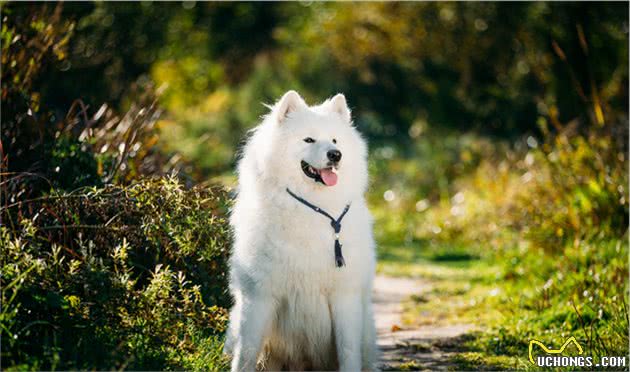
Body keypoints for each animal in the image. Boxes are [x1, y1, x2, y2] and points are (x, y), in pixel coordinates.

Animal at [225, 91, 378, 372]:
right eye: (309, 139)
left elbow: (348, 351)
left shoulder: (345, 296)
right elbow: (246, 353)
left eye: (335, 140)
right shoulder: (258, 296)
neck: (311, 208)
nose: (335, 154)